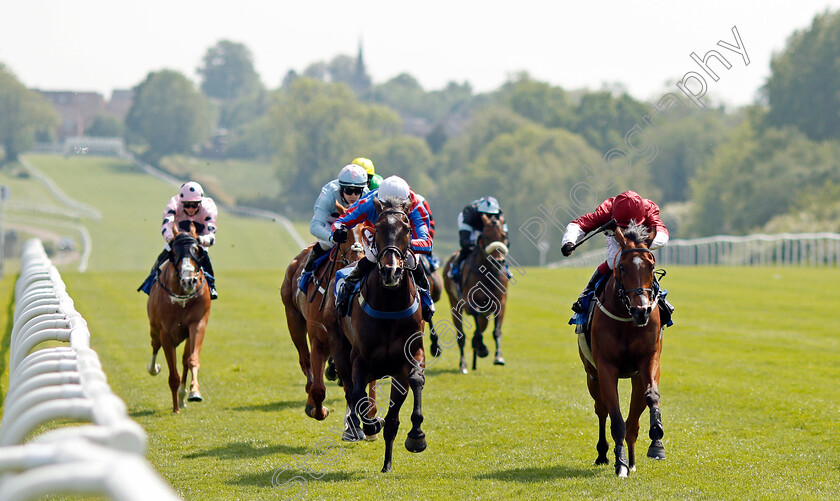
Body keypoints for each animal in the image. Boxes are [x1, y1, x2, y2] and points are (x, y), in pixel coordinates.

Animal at [146, 223, 210, 414]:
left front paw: (194, 392)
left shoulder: (197, 323)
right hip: (154, 328)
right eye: (174, 252)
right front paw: (175, 409)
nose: (189, 281)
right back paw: (153, 368)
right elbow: (173, 374)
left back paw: (182, 397)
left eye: (197, 250)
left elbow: (192, 360)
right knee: (155, 346)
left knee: (184, 358)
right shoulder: (166, 332)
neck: (181, 296)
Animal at [280, 201, 366, 420]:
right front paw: (317, 408)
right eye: (344, 233)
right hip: (293, 320)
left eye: (367, 231)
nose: (359, 255)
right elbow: (318, 388)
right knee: (305, 361)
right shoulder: (317, 335)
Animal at [326, 196, 426, 472]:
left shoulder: (408, 360)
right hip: (340, 349)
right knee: (350, 390)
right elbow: (358, 395)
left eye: (407, 228)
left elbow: (414, 384)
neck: (390, 305)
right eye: (379, 228)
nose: (391, 271)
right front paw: (371, 425)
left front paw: (416, 437)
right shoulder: (360, 361)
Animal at [442, 213, 508, 374]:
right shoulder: (469, 302)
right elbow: (476, 325)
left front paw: (498, 357)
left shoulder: (500, 302)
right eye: (484, 236)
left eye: (503, 235)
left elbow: (496, 331)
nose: (498, 262)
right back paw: (464, 364)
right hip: (454, 305)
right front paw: (482, 348)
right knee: (461, 336)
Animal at [580, 222, 668, 476]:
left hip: (636, 377)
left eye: (651, 265)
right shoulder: (605, 368)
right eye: (621, 267)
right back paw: (603, 454)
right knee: (601, 410)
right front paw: (620, 464)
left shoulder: (648, 360)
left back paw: (635, 457)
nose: (642, 311)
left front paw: (656, 440)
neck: (627, 320)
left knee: (633, 420)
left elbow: (651, 398)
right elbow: (616, 418)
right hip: (592, 375)